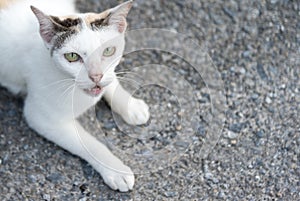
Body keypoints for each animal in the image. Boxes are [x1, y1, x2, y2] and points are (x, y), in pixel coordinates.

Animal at [0, 0, 150, 192]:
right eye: (72, 56)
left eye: (108, 51)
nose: (96, 76)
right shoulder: (42, 118)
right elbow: (91, 144)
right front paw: (116, 170)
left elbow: (111, 80)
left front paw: (130, 105)